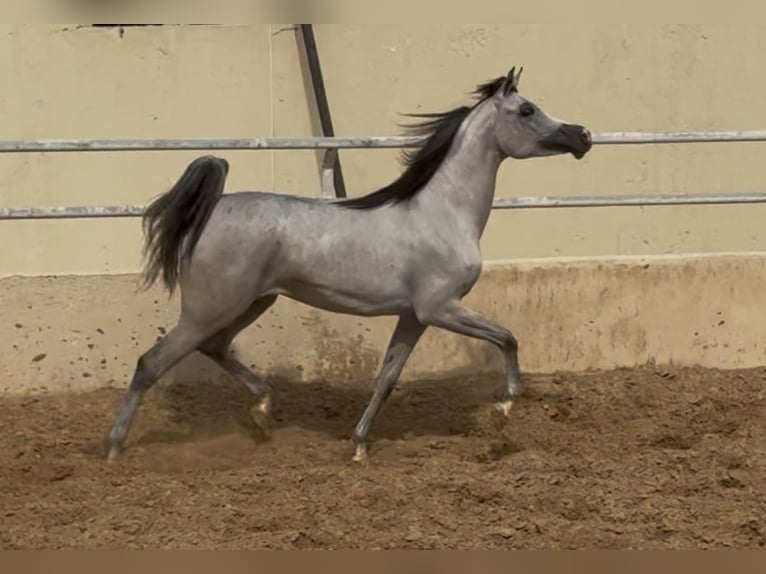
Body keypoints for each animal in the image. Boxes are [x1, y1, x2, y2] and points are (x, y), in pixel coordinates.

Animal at [106, 66, 593, 463]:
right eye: (527, 109)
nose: (582, 136)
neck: (442, 212)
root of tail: (212, 208)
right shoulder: (442, 308)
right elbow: (507, 338)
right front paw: (504, 406)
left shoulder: (414, 317)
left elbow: (387, 378)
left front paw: (358, 445)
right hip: (210, 308)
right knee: (151, 362)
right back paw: (114, 450)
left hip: (251, 303)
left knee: (215, 347)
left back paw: (262, 412)